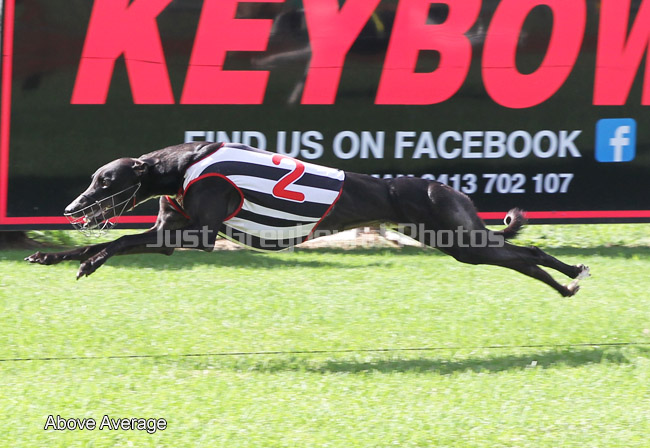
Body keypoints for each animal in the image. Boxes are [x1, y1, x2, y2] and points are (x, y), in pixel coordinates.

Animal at [25, 142, 590, 296]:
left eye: (105, 181)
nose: (71, 209)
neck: (181, 165)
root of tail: (445, 186)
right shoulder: (170, 230)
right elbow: (98, 244)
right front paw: (52, 254)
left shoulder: (193, 235)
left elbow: (118, 243)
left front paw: (89, 261)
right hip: (458, 243)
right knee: (520, 257)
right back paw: (565, 285)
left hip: (462, 238)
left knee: (529, 250)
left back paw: (572, 274)